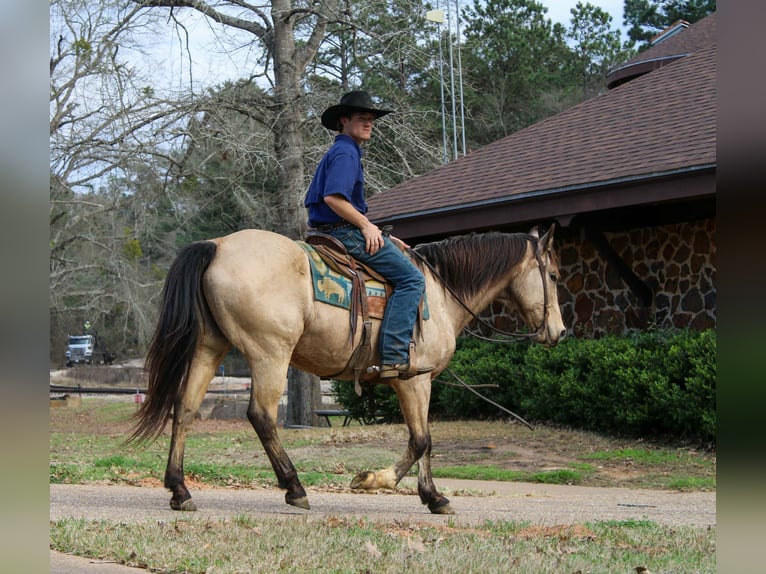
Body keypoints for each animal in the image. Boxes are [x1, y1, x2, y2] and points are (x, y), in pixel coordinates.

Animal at [130, 225, 567, 515]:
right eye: (554, 275)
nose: (560, 332)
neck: (440, 292)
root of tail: (218, 246)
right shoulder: (413, 380)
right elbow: (421, 440)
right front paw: (380, 482)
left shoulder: (419, 383)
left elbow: (425, 441)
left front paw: (429, 495)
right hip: (270, 353)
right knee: (262, 416)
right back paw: (295, 488)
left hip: (210, 348)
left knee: (185, 410)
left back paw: (180, 490)